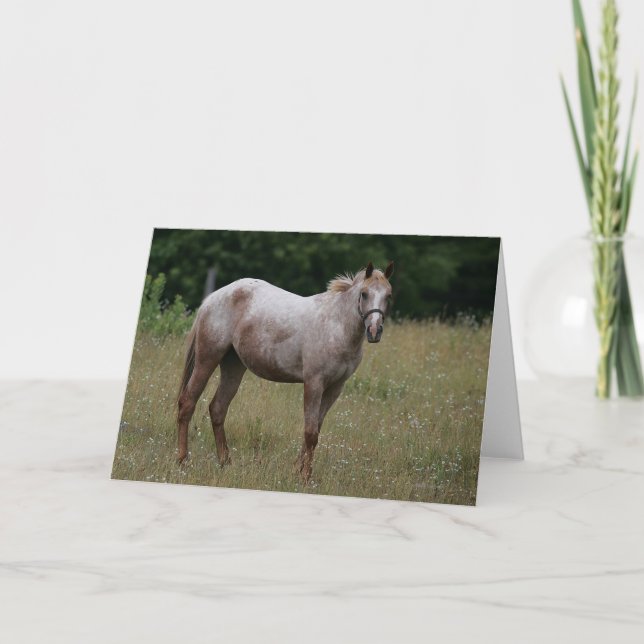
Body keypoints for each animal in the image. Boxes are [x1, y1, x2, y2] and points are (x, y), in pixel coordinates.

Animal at [176, 260, 394, 482]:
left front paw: (297, 470)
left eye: (388, 295)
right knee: (188, 403)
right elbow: (311, 433)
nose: (374, 331)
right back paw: (183, 461)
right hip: (207, 360)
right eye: (364, 294)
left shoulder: (335, 388)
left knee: (218, 409)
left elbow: (316, 428)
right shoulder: (314, 383)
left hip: (233, 366)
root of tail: (212, 299)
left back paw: (225, 462)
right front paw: (305, 477)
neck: (337, 326)